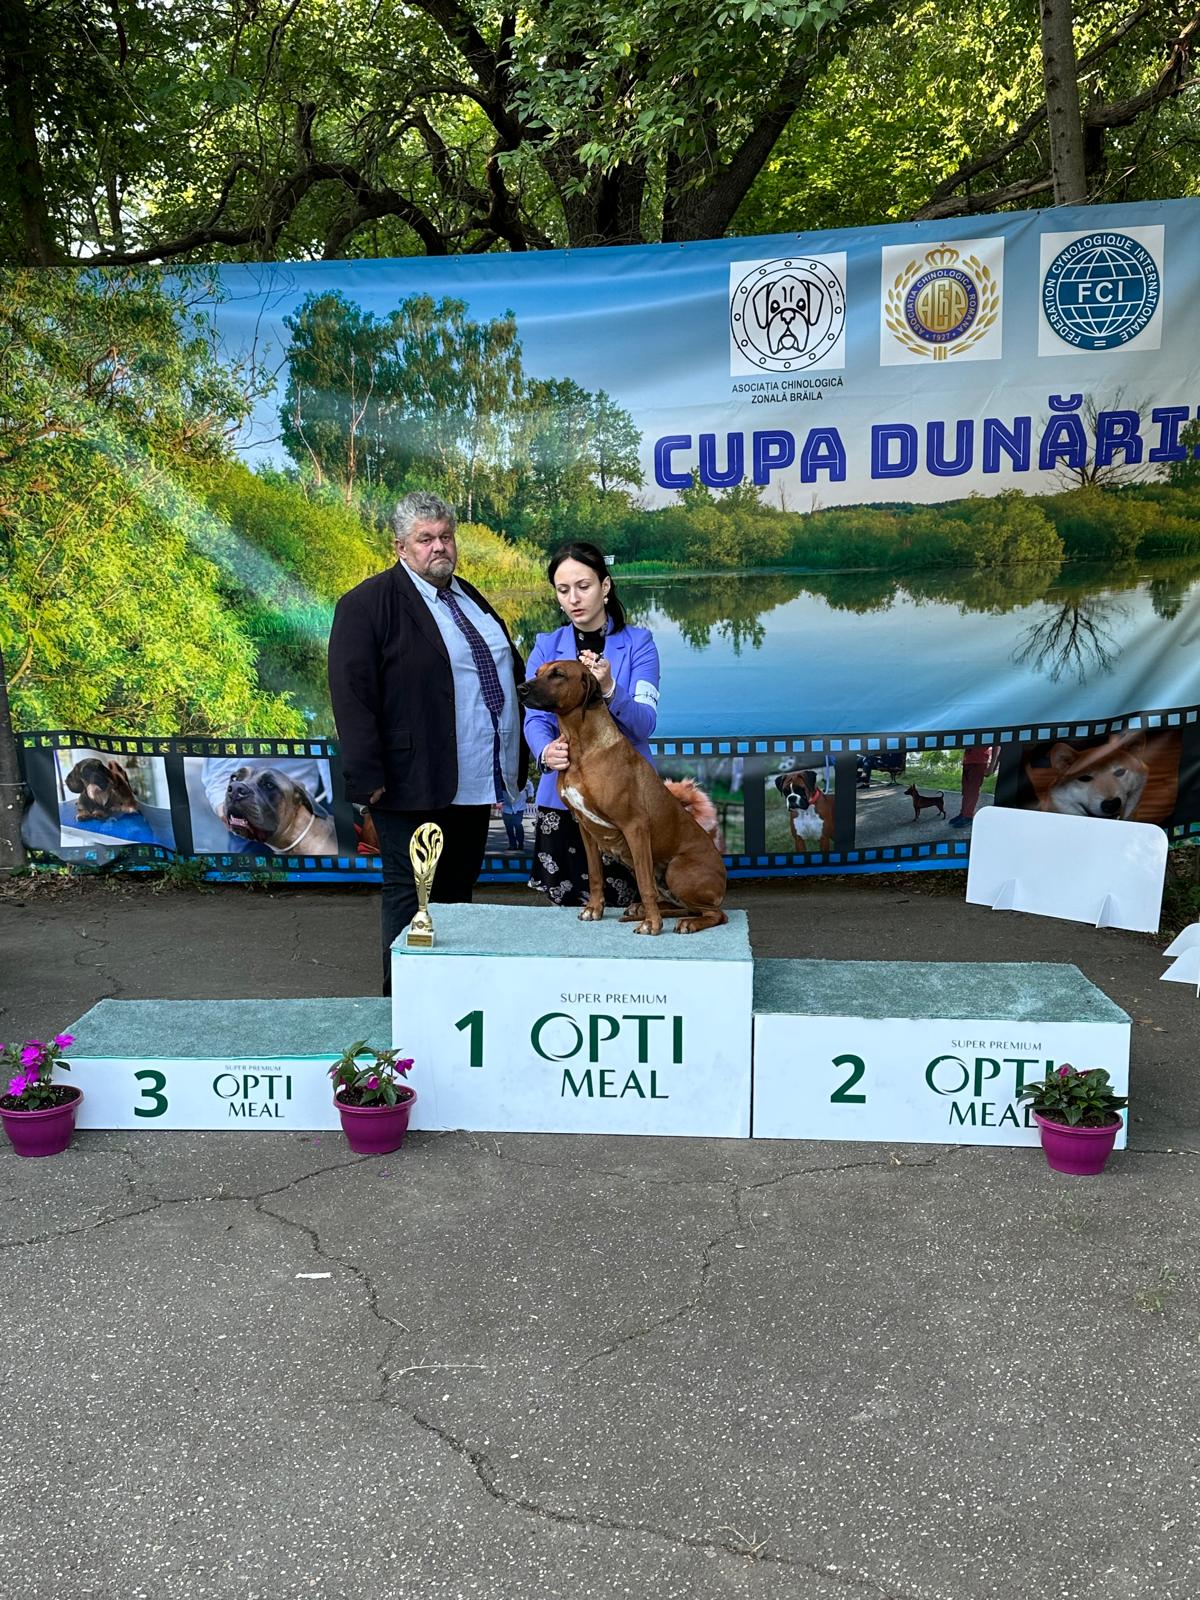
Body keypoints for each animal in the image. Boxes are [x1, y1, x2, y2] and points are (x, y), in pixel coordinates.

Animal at [517, 660, 727, 934]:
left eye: (558, 674)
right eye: (537, 672)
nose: (520, 688)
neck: (582, 747)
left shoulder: (635, 826)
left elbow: (645, 883)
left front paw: (652, 924)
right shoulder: (585, 827)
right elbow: (595, 875)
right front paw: (594, 909)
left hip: (677, 869)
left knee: (716, 914)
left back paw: (685, 922)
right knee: (684, 905)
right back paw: (642, 909)